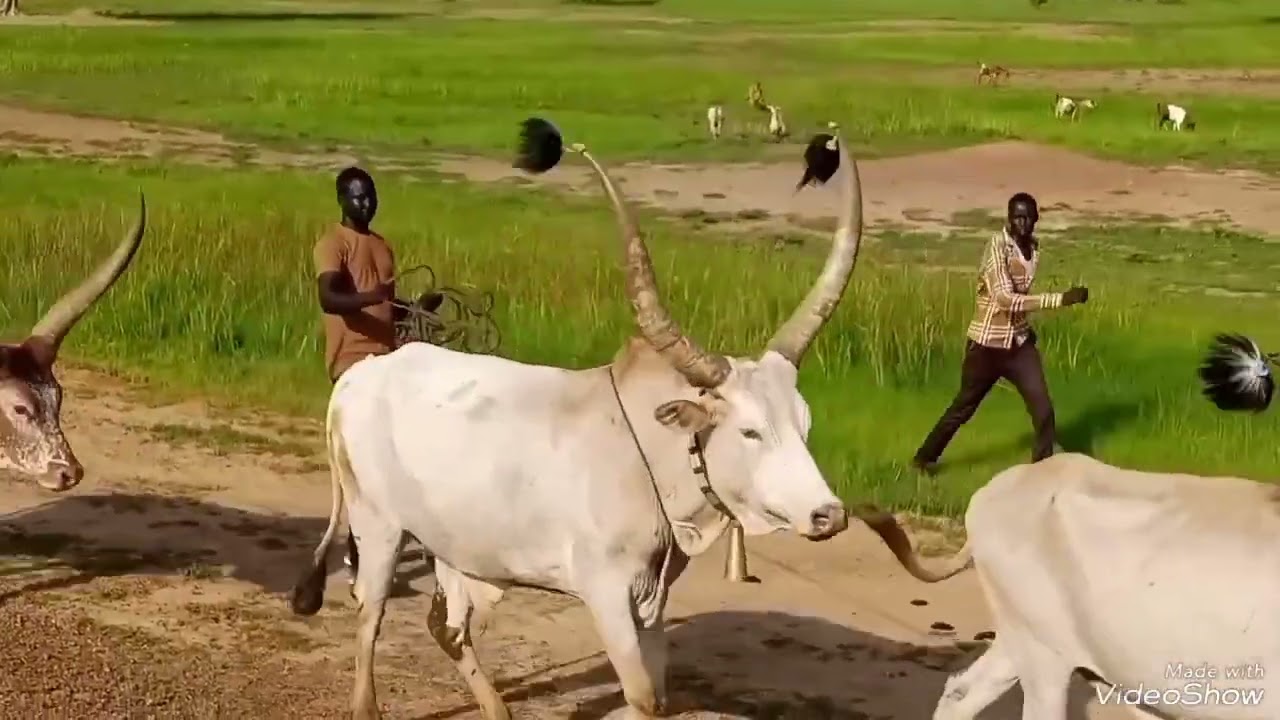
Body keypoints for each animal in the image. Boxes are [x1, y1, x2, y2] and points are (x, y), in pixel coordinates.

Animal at [286, 119, 912, 720]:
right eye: (750, 429)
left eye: (804, 425)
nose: (829, 515)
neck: (648, 454)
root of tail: (360, 377)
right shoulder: (606, 596)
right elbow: (641, 696)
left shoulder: (653, 603)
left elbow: (657, 696)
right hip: (378, 524)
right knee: (371, 613)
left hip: (451, 542)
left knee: (447, 626)